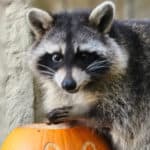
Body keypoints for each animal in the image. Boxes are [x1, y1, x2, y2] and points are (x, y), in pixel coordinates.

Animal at [26, 1, 150, 150]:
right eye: (56, 57)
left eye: (83, 56)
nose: (68, 84)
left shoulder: (131, 85)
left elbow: (116, 112)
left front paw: (83, 110)